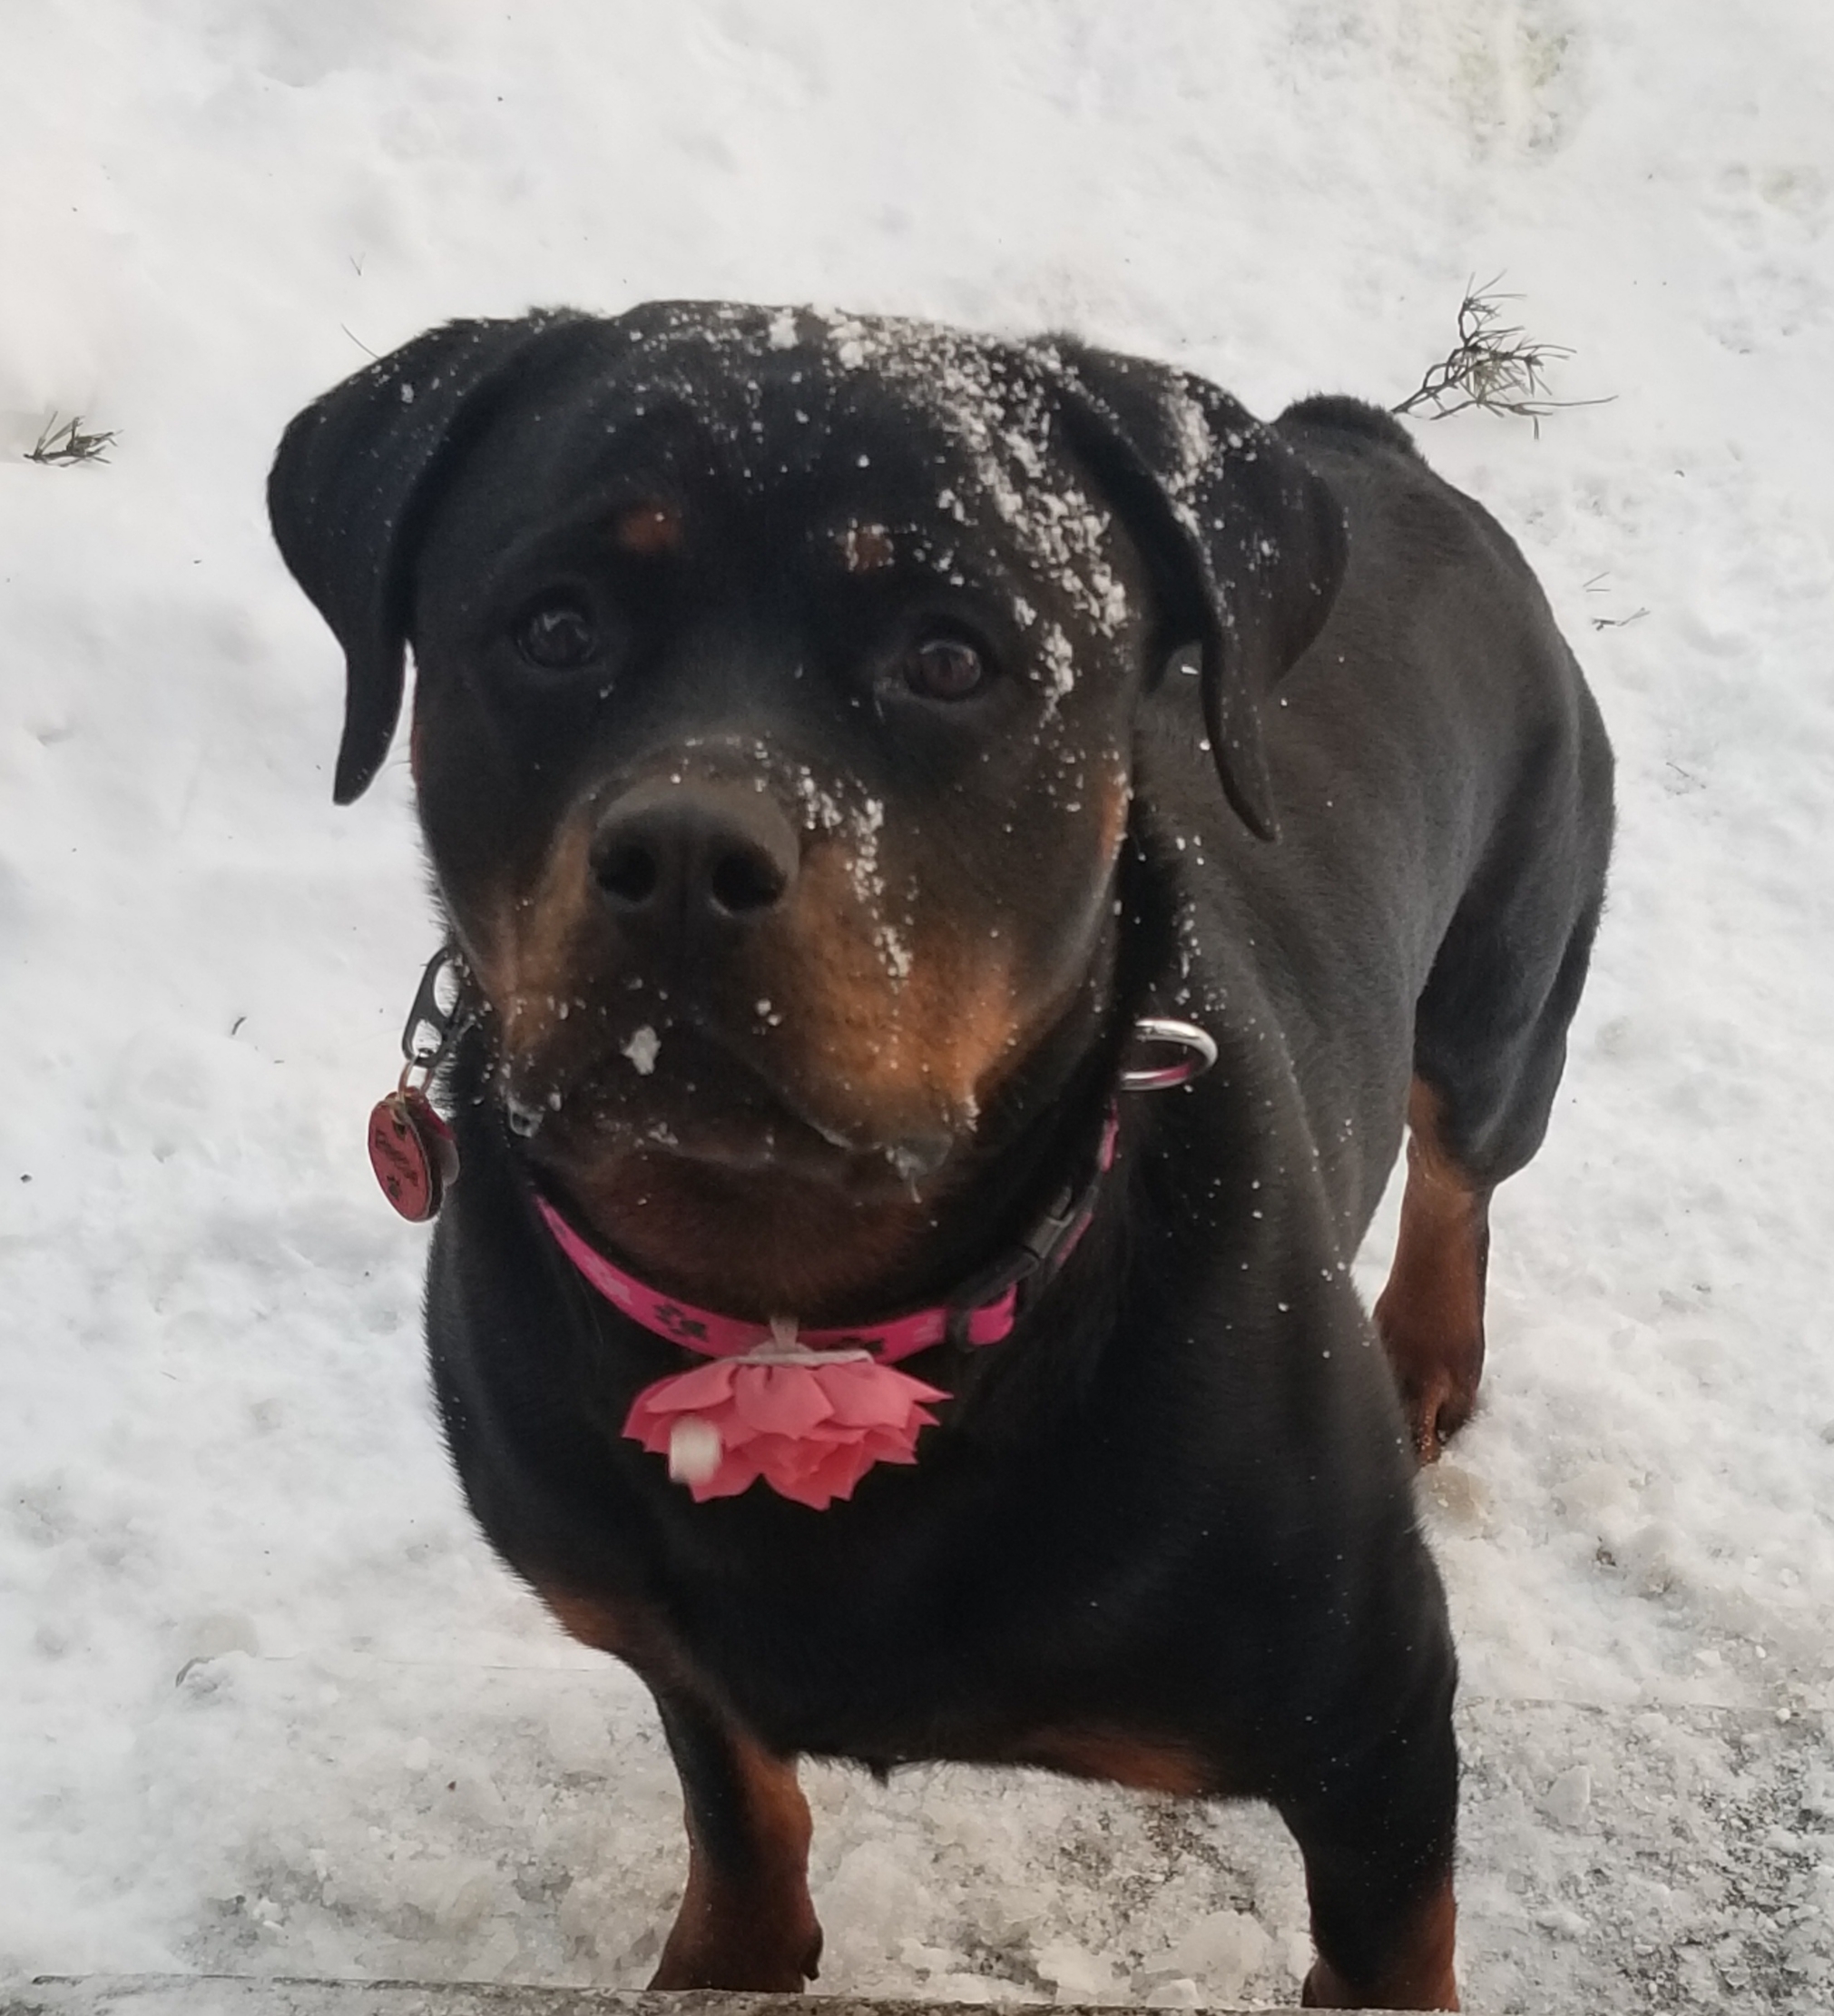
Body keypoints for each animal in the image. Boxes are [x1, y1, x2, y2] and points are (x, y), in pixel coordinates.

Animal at [270, 302, 1613, 2010]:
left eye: (950, 656)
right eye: (554, 628)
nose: (686, 855)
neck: (798, 1319)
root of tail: (1370, 443)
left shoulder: (1373, 1718)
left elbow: (1398, 1945)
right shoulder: (672, 1639)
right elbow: (738, 1802)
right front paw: (730, 1957)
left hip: (1511, 977)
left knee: (1463, 1163)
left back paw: (1425, 1350)